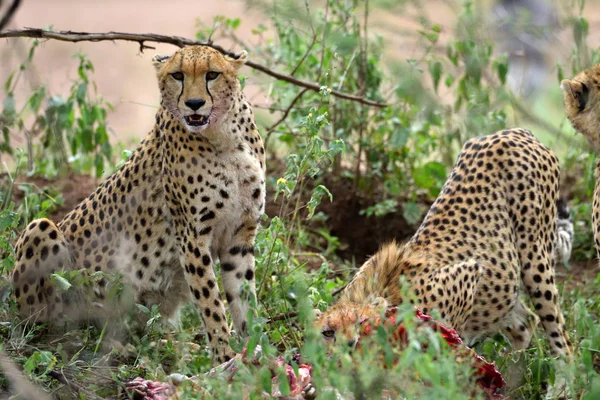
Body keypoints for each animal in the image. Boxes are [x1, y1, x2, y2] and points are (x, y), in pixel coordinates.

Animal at [9, 45, 264, 364]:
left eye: (212, 74)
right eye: (177, 75)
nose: (194, 104)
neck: (225, 136)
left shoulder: (239, 234)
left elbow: (245, 296)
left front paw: (254, 350)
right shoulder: (192, 236)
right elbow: (211, 302)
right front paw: (224, 356)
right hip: (41, 231)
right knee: (53, 331)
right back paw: (108, 345)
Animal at [314, 129, 572, 360]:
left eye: (362, 323)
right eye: (328, 332)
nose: (349, 345)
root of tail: (515, 132)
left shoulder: (468, 273)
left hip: (536, 261)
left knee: (562, 340)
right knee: (525, 321)